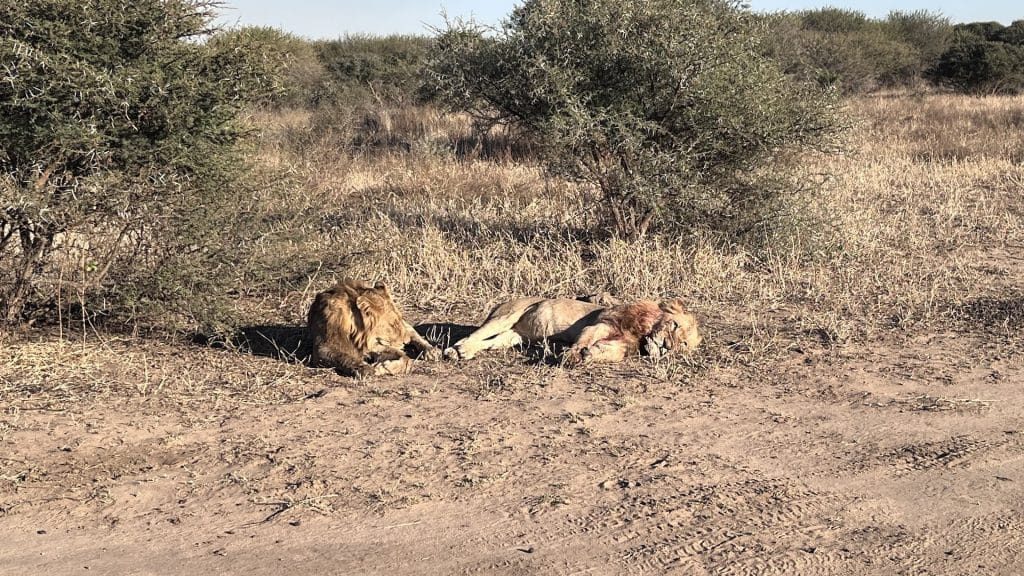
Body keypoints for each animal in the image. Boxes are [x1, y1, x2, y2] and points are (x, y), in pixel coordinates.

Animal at [309, 278, 442, 377]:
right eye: (392, 324)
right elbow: (344, 357)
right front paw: (366, 369)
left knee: (413, 332)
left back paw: (431, 351)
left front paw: (382, 367)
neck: (356, 334)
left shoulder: (375, 345)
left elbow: (406, 359)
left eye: (397, 321)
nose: (405, 342)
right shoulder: (322, 349)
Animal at [444, 291, 700, 362]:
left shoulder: (623, 343)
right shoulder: (601, 324)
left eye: (684, 344)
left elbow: (612, 352)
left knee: (491, 342)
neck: (642, 333)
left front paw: (591, 355)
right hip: (506, 315)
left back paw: (464, 352)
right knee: (473, 335)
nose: (667, 346)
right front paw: (573, 355)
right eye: (674, 325)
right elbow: (584, 338)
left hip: (514, 337)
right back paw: (458, 350)